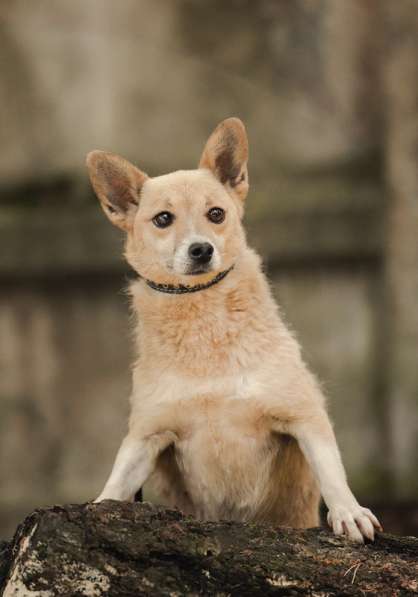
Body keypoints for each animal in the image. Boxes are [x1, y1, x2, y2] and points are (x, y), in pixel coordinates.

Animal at [88, 116, 382, 540]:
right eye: (163, 219)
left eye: (216, 214)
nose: (201, 250)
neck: (203, 316)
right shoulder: (146, 435)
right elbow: (116, 483)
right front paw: (96, 506)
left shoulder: (303, 414)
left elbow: (331, 473)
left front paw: (349, 511)